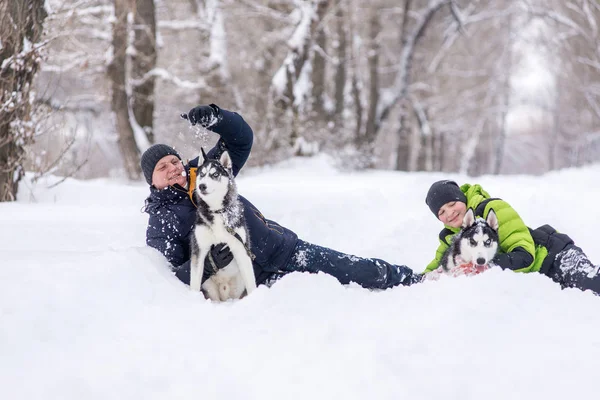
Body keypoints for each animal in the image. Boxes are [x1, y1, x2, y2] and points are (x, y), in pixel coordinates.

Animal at [190, 148, 255, 302]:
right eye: (202, 174)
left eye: (215, 174)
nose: (202, 186)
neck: (217, 211)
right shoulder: (199, 249)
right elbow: (194, 281)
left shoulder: (241, 248)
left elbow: (251, 283)